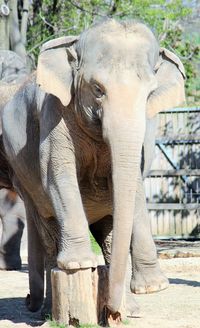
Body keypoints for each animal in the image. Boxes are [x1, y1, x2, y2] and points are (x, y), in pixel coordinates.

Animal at [0, 18, 186, 316]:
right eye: (98, 89)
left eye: (149, 94)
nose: (110, 310)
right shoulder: (55, 112)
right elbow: (57, 174)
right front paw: (79, 264)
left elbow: (134, 183)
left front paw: (153, 287)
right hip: (25, 182)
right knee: (48, 233)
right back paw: (52, 309)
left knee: (108, 238)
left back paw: (128, 310)